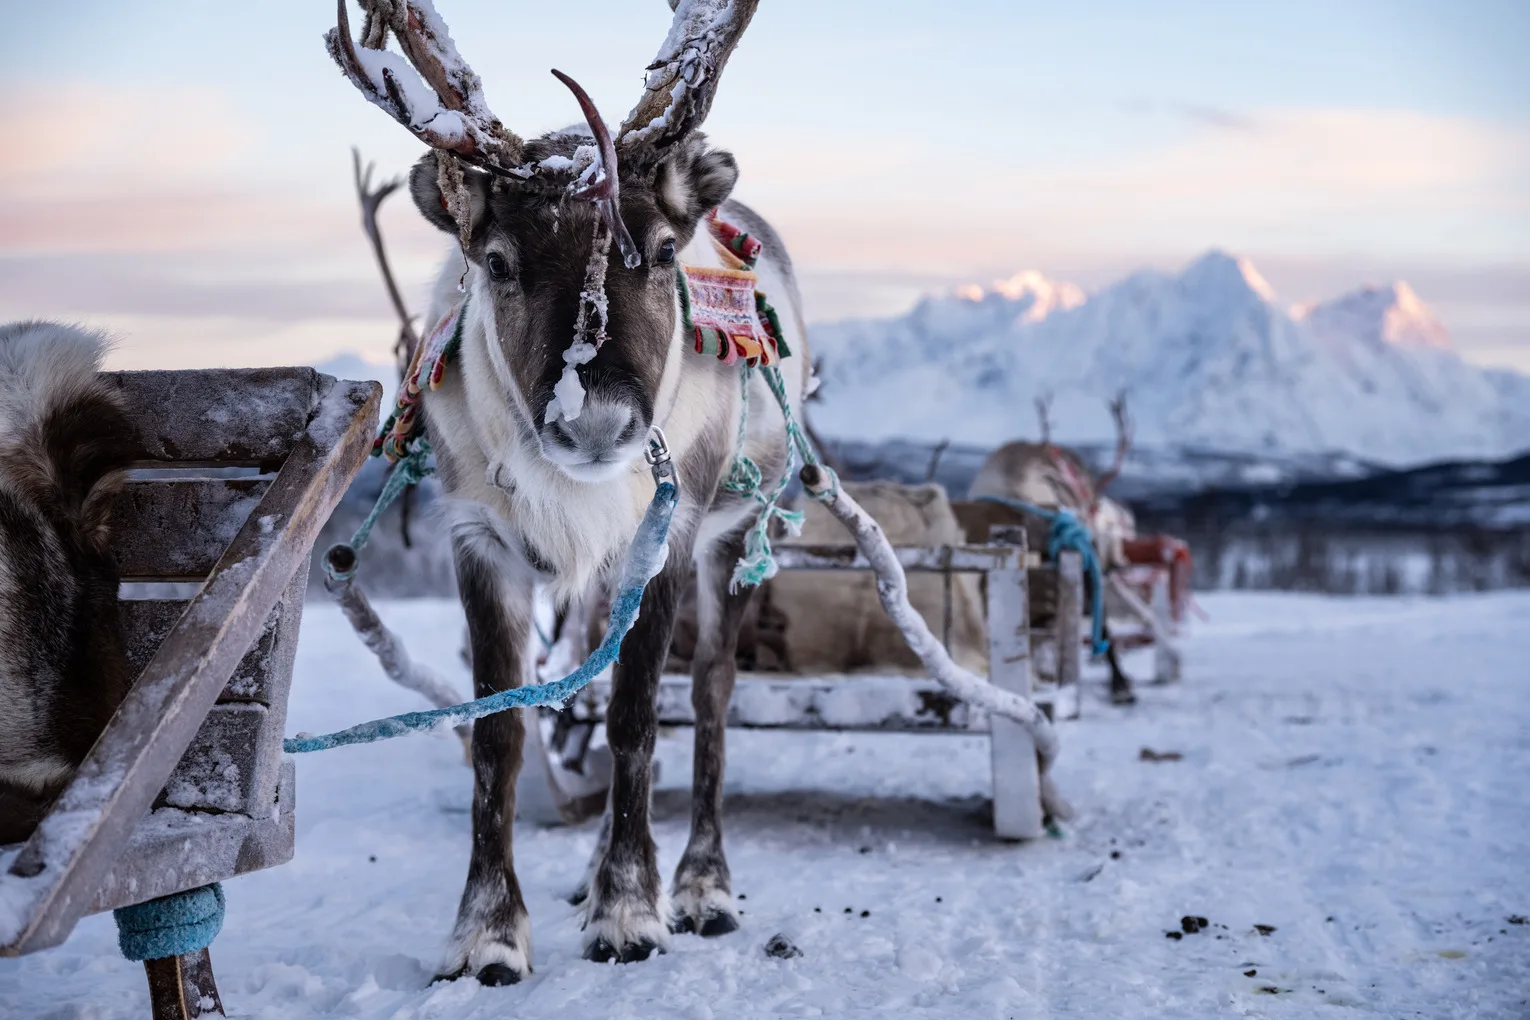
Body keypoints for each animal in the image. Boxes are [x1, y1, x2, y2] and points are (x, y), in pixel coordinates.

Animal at [326, 0, 807, 983]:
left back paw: (700, 885)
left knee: (708, 694)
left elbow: (634, 719)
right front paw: (486, 933)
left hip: (737, 540)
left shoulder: (665, 538)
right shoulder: (480, 541)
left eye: (660, 252)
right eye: (498, 262)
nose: (595, 424)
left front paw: (632, 911)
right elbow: (499, 734)